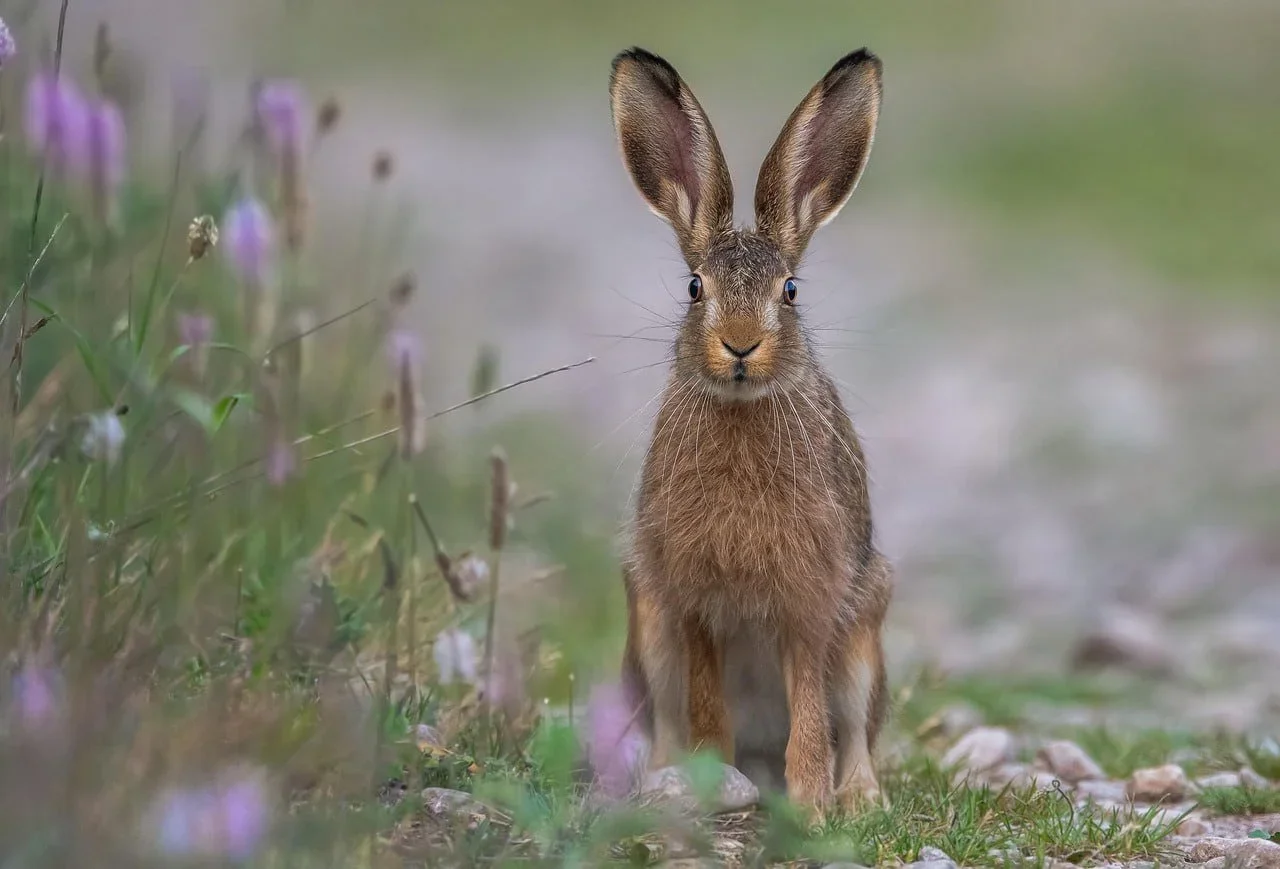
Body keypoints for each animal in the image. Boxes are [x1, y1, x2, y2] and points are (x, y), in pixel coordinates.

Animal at [609, 46, 894, 815]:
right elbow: (708, 709)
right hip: (648, 627)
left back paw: (859, 796)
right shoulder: (692, 604)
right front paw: (713, 780)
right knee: (668, 718)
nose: (740, 344)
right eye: (694, 289)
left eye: (789, 291)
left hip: (866, 630)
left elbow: (812, 715)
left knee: (856, 726)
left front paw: (813, 805)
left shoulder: (811, 604)